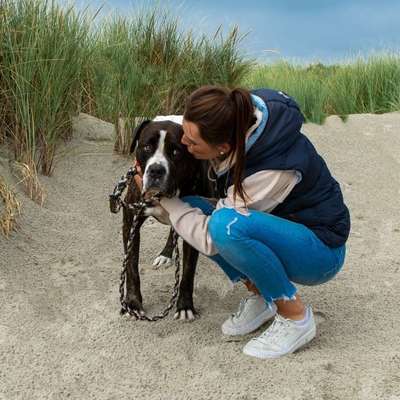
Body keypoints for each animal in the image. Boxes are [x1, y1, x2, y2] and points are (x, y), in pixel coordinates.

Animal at [122, 117, 214, 320]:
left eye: (176, 152)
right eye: (147, 147)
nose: (156, 170)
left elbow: (187, 272)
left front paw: (185, 306)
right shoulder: (130, 224)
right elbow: (131, 268)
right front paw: (133, 303)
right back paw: (165, 254)